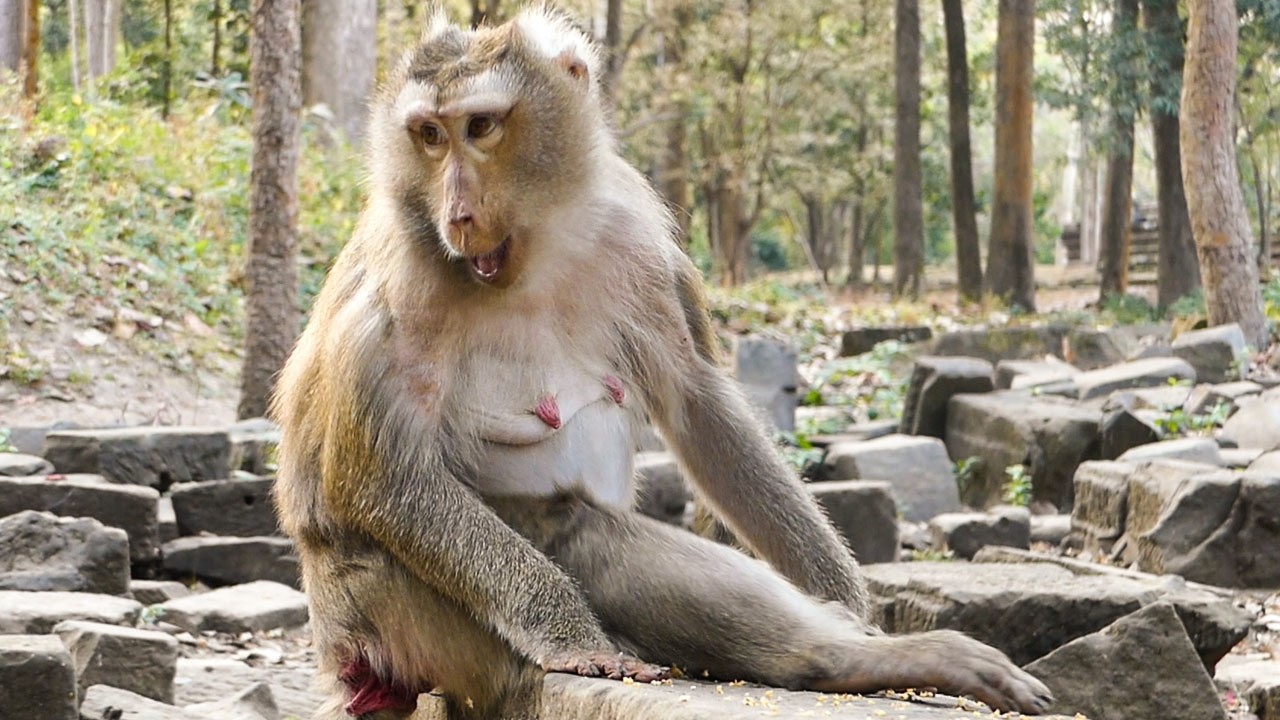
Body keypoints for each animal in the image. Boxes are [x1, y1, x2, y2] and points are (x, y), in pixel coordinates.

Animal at [270, 7, 1054, 720]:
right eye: (429, 136)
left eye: (482, 127)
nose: (458, 214)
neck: (536, 253)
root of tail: (348, 655)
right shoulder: (402, 282)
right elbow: (380, 479)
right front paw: (568, 633)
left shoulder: (632, 238)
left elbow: (696, 403)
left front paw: (845, 596)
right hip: (404, 614)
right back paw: (859, 658)